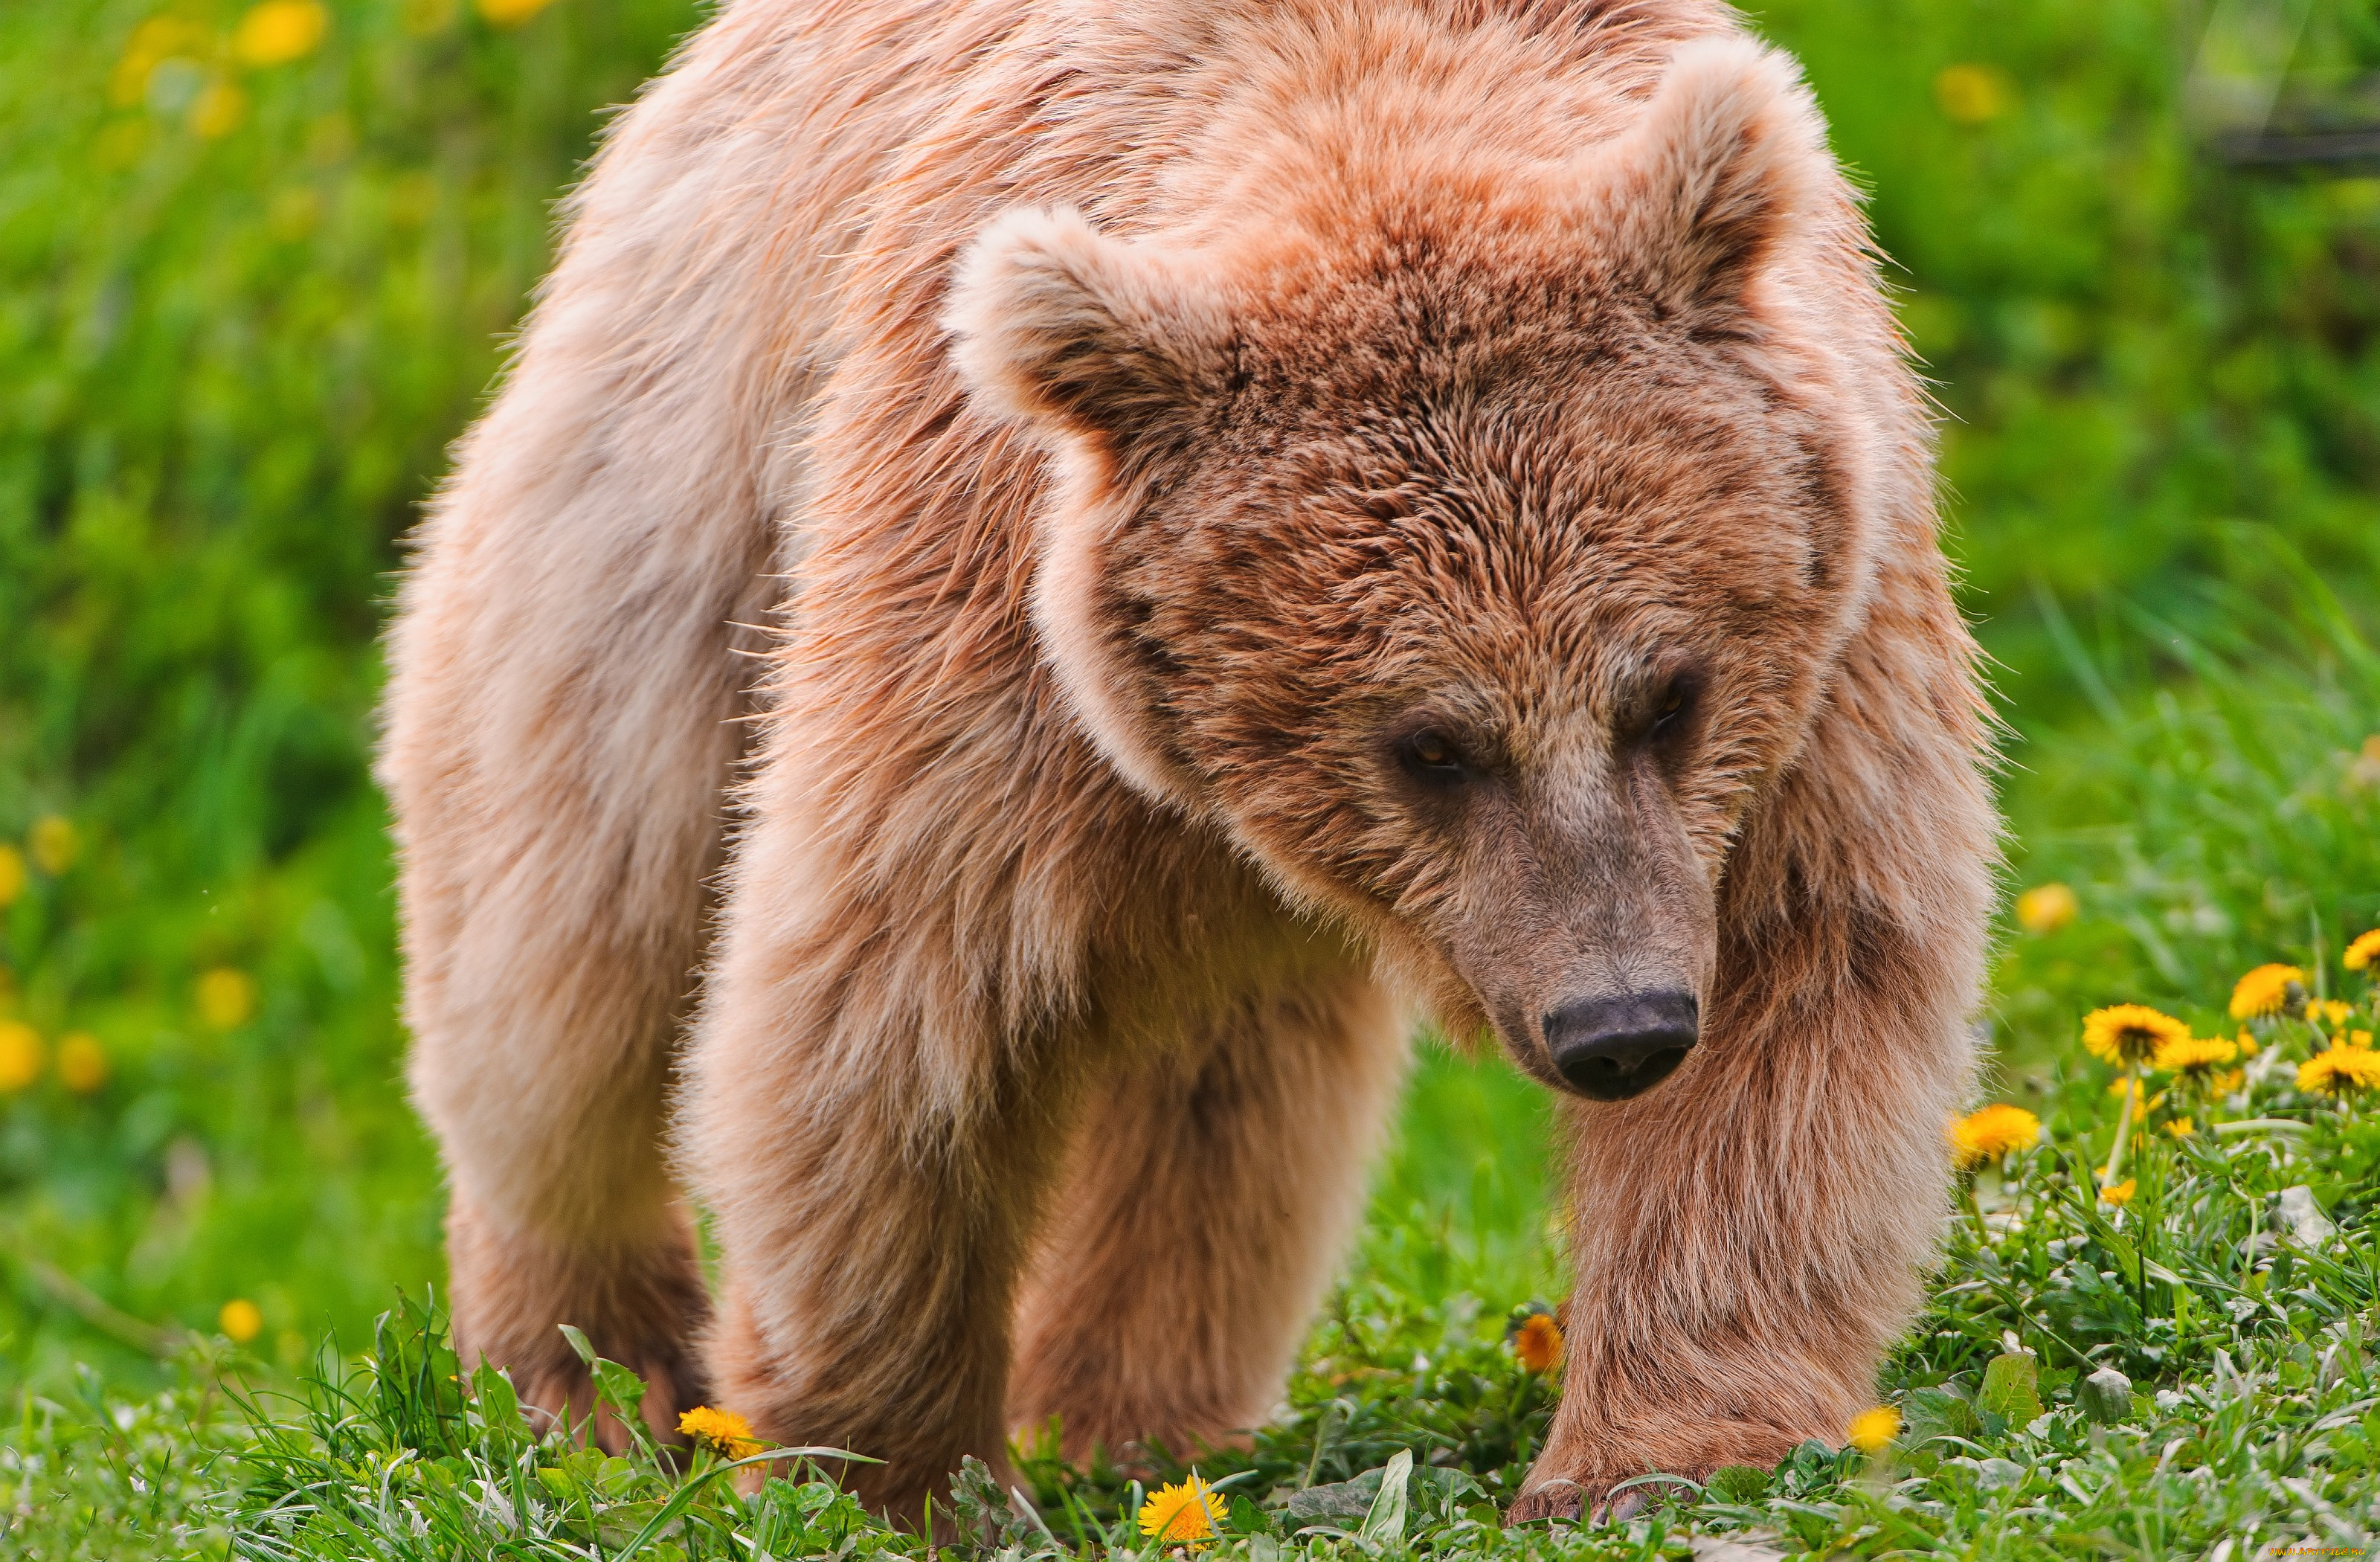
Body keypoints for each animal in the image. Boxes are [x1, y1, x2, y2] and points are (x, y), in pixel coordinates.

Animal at [376, 0, 1990, 1523]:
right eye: (1430, 745)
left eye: (1667, 696)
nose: (1619, 1028)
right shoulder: (988, 629)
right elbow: (892, 1013)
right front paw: (887, 1474)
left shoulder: (1824, 630)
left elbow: (1806, 982)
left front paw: (1657, 1448)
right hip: (667, 495)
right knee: (574, 942)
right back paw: (586, 1376)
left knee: (1224, 1088)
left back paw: (1132, 1410)